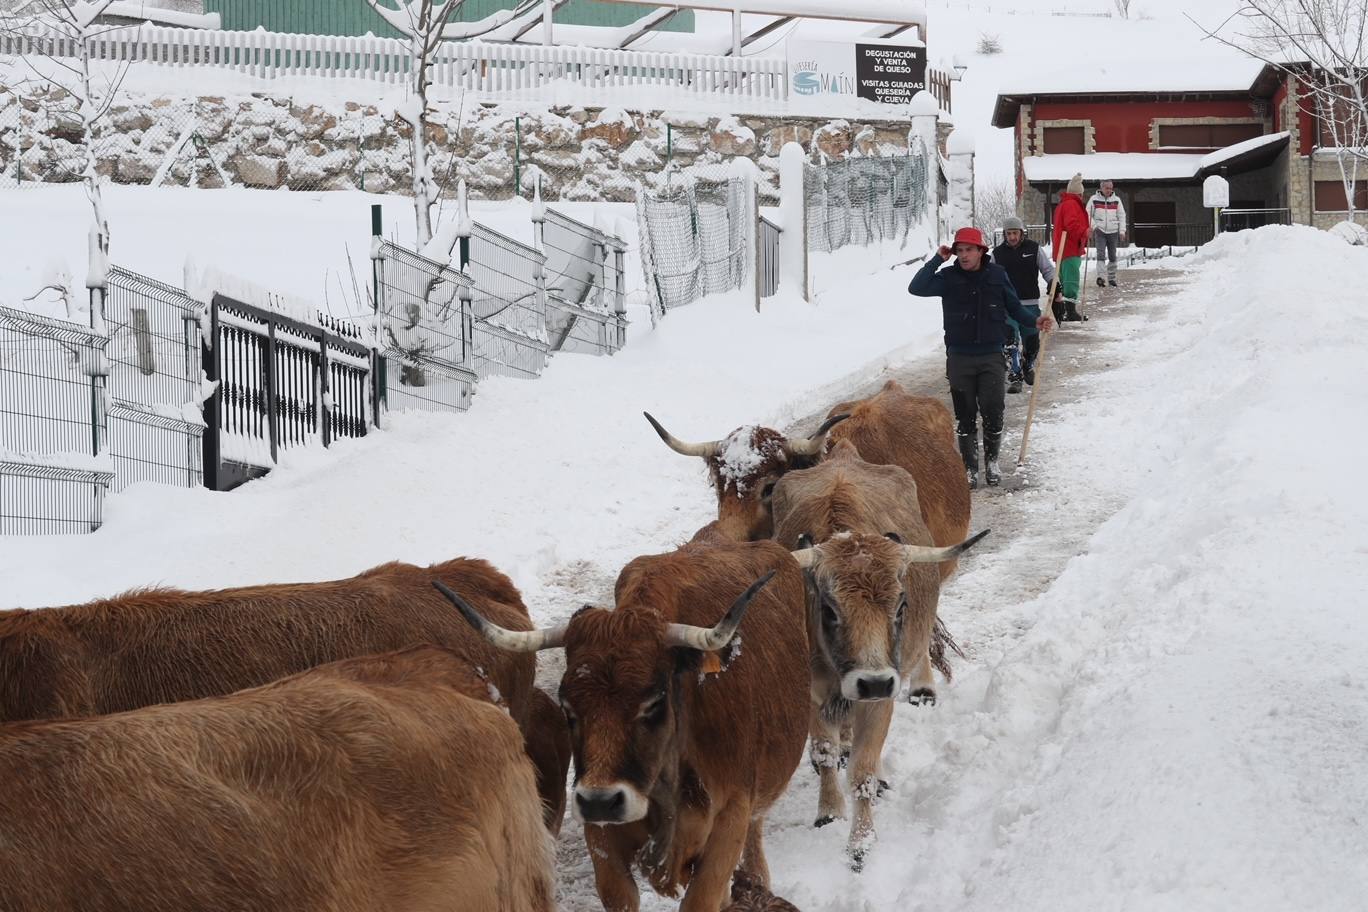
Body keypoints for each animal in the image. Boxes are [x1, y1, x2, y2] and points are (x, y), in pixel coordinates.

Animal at [771, 443, 984, 869]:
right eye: (829, 609)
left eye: (900, 605)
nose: (872, 681)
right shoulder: (811, 697)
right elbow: (824, 754)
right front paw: (829, 812)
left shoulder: (881, 695)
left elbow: (863, 771)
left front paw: (861, 842)